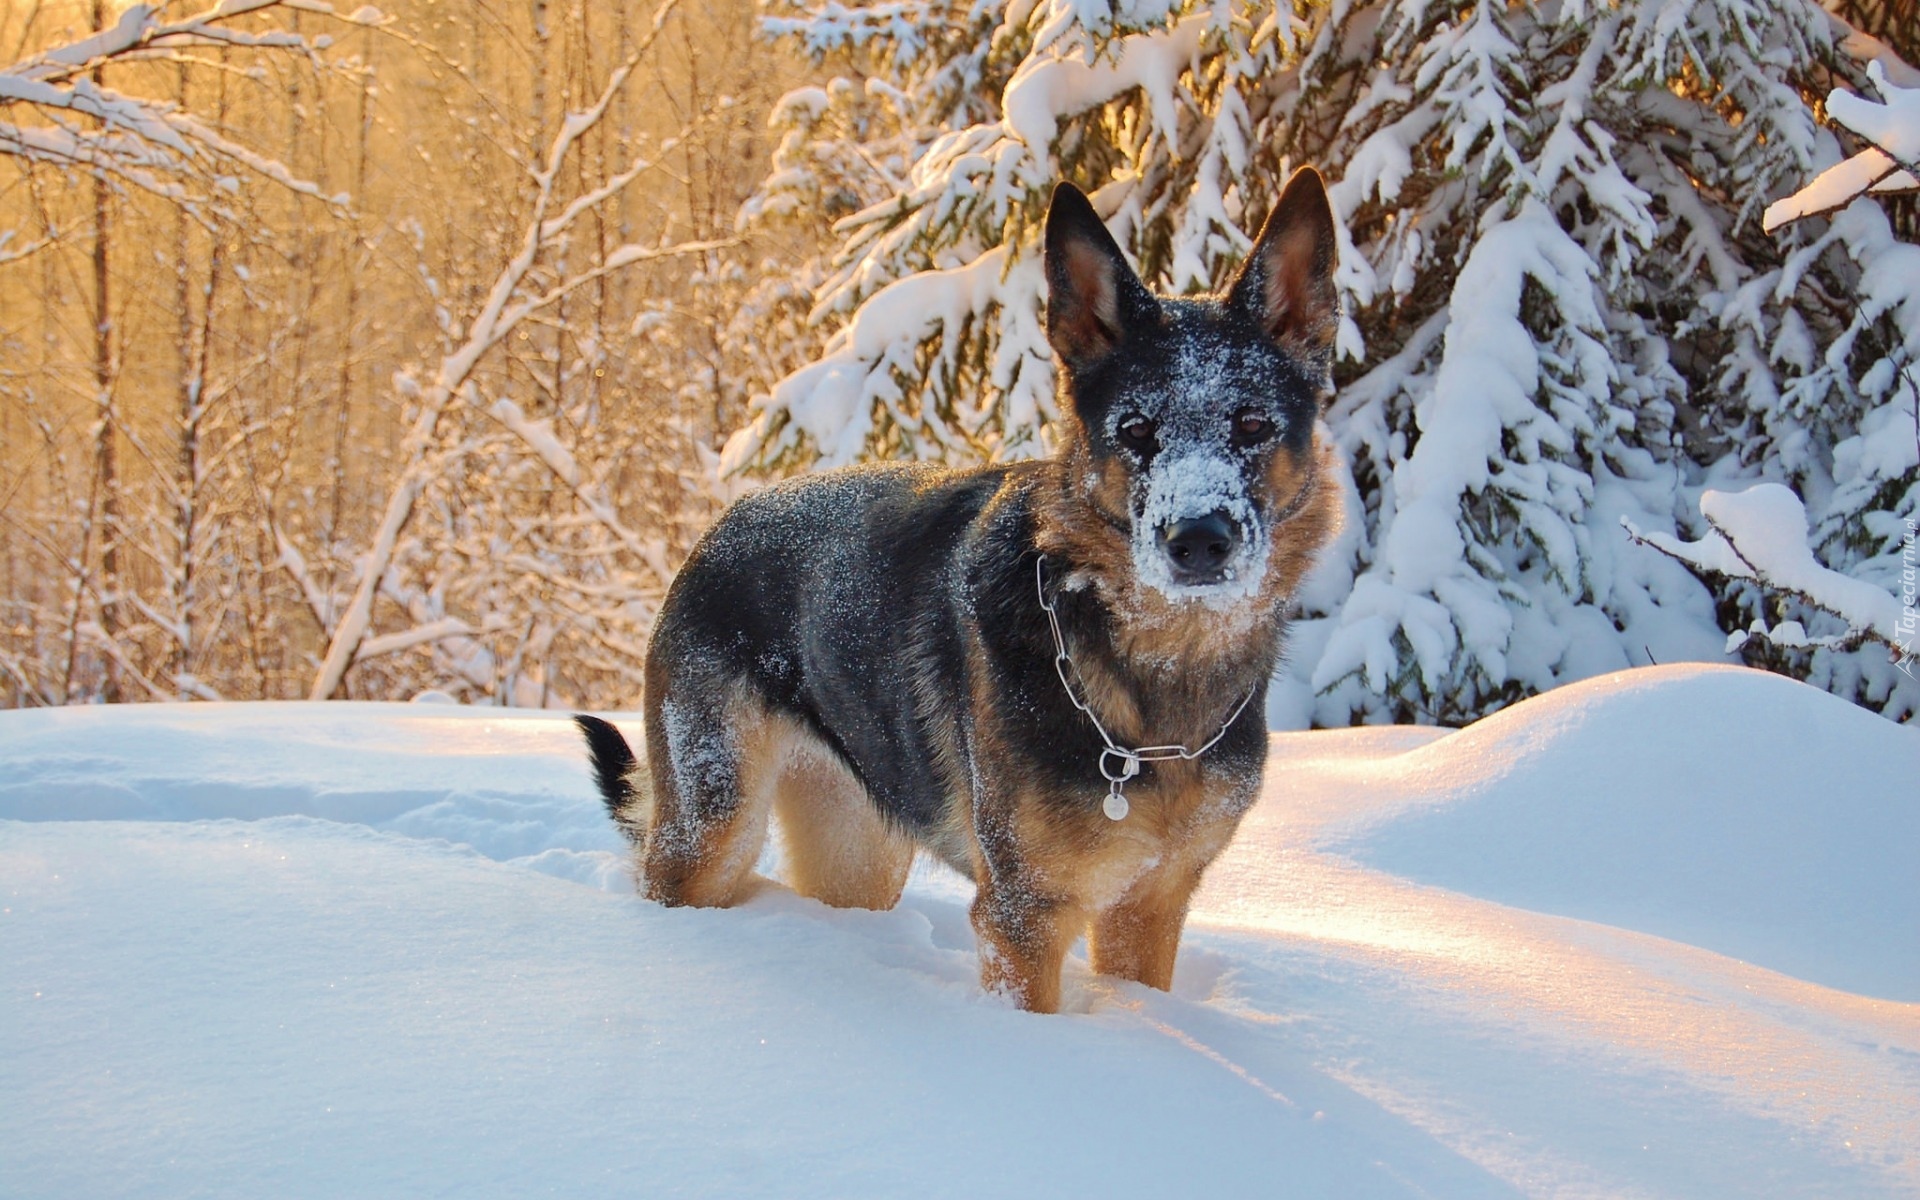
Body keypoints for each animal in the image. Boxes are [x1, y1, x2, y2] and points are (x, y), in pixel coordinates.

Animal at [576, 166, 1344, 1013]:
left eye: (1252, 425)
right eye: (1137, 431)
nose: (1199, 541)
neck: (1154, 677)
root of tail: (722, 523)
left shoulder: (1149, 906)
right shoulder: (1023, 917)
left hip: (860, 856)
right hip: (711, 833)